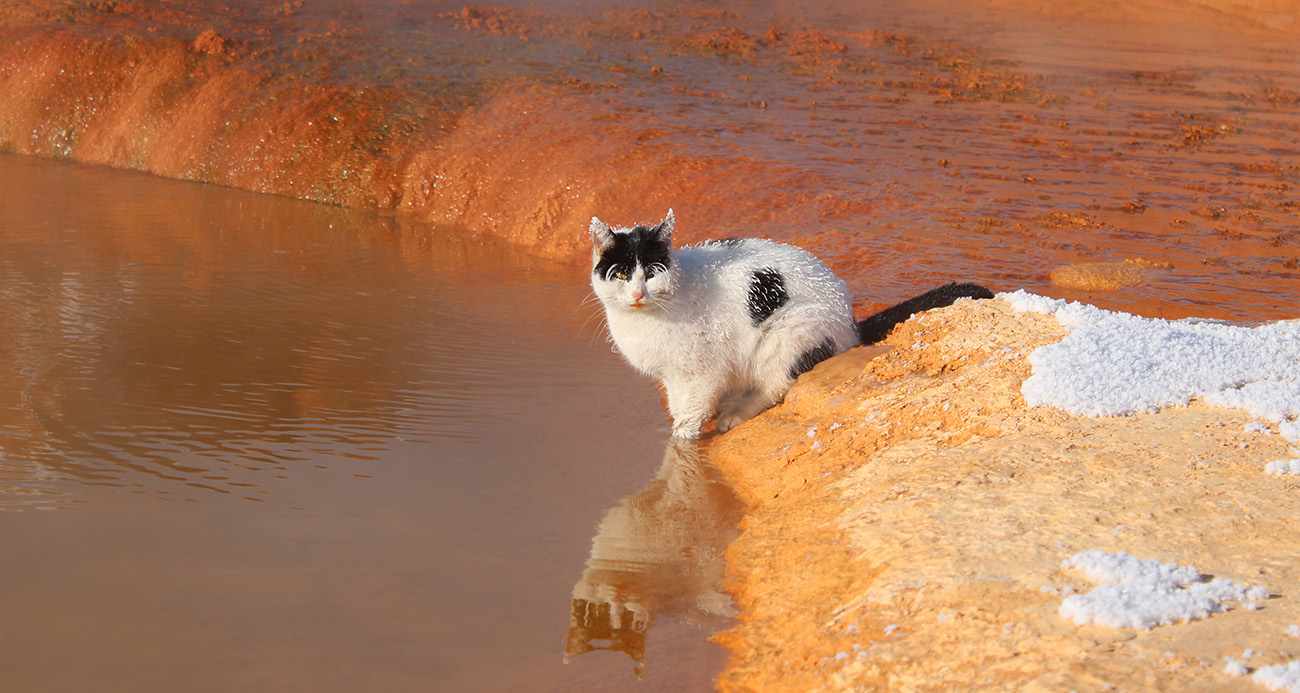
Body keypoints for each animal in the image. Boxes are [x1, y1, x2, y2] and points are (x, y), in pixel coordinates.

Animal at [592, 208, 993, 439]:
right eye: (622, 274)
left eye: (652, 273)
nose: (638, 294)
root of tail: (851, 322)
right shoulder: (674, 378)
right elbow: (678, 409)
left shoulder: (701, 374)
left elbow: (688, 421)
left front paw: (681, 448)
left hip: (788, 333)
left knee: (775, 386)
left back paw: (734, 414)